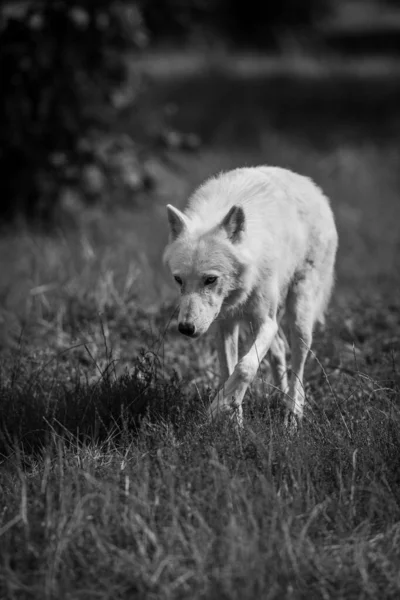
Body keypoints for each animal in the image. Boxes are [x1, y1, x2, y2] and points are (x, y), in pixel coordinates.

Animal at [162, 166, 338, 424]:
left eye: (210, 279)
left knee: (298, 363)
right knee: (279, 350)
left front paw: (216, 409)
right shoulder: (224, 324)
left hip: (298, 315)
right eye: (179, 280)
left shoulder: (266, 322)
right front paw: (233, 422)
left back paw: (292, 415)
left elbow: (245, 367)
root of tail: (311, 185)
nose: (185, 328)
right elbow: (229, 371)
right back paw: (279, 397)